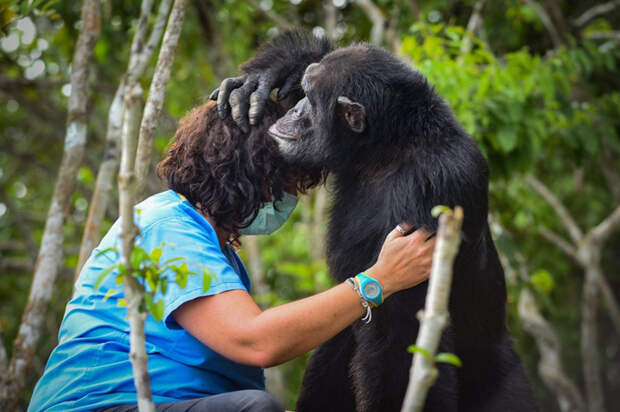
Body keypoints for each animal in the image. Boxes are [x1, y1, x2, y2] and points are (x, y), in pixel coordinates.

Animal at [213, 31, 536, 412]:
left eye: (309, 98)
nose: (294, 109)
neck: (385, 149)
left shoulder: (430, 192)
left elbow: (400, 338)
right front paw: (268, 75)